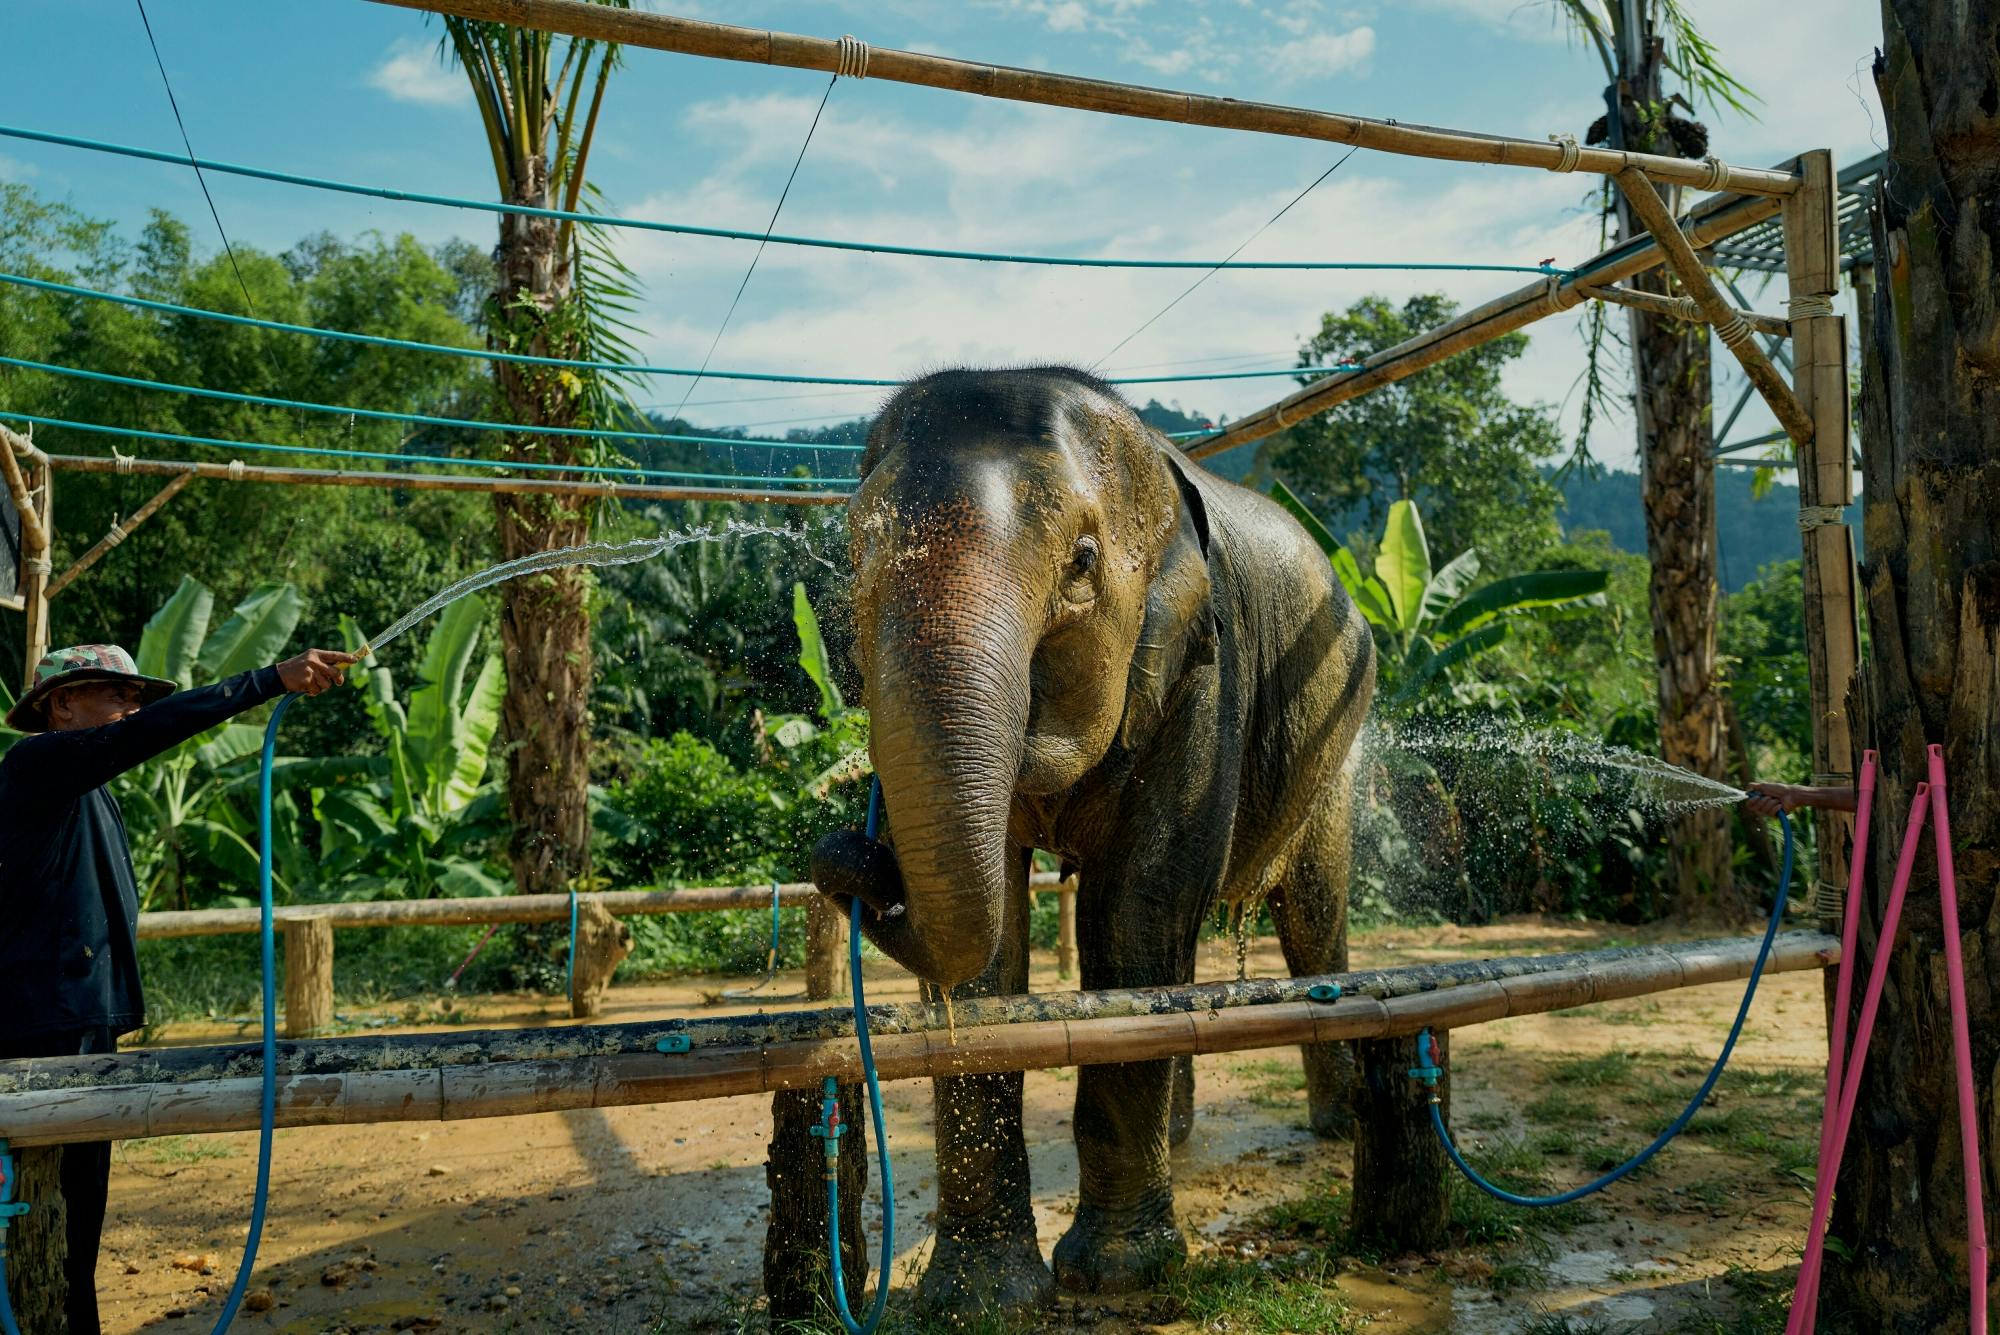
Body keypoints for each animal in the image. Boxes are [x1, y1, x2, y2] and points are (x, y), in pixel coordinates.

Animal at [811, 366, 1376, 1311]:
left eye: (1081, 563)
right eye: (854, 555)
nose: (844, 854)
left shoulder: (1203, 670)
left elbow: (1136, 905)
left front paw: (1118, 1276)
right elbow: (994, 940)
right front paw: (980, 1296)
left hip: (1340, 739)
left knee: (1310, 912)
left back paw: (1339, 1126)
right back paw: (1181, 1137)